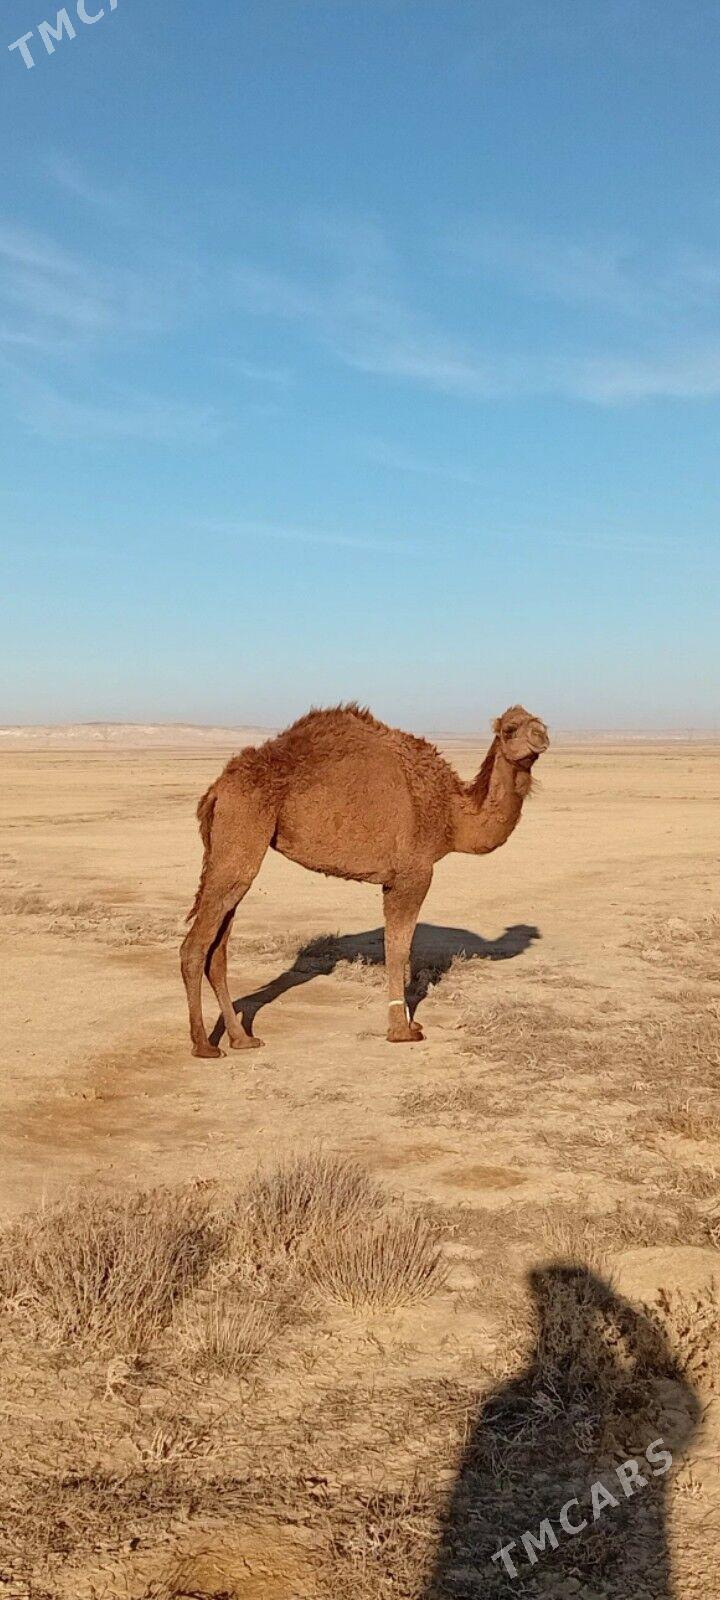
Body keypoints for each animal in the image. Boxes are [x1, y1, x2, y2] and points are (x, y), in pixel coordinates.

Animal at [180, 703, 549, 1057]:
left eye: (539, 720)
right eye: (510, 729)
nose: (542, 735)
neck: (450, 814)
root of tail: (216, 789)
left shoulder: (393, 880)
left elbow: (401, 948)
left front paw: (409, 1023)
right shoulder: (413, 873)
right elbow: (398, 949)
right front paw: (401, 1031)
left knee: (218, 950)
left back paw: (242, 1039)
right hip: (241, 828)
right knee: (196, 945)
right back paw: (203, 1045)